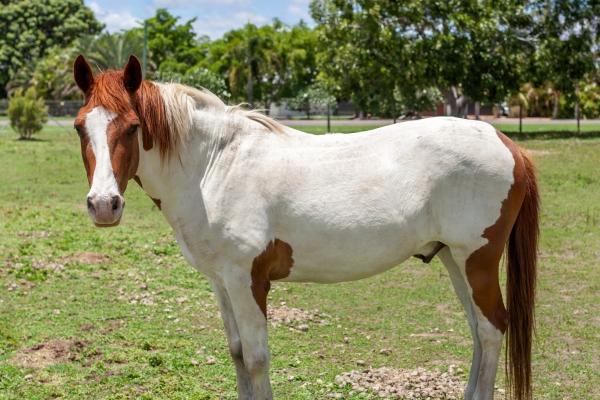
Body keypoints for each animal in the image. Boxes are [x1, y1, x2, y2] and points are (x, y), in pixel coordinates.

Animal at [71, 55, 540, 400]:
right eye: (80, 127)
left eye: (133, 127)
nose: (104, 205)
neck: (215, 165)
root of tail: (506, 143)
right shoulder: (221, 282)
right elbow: (237, 353)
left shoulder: (248, 281)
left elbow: (257, 358)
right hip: (454, 260)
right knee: (479, 332)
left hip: (476, 260)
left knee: (491, 329)